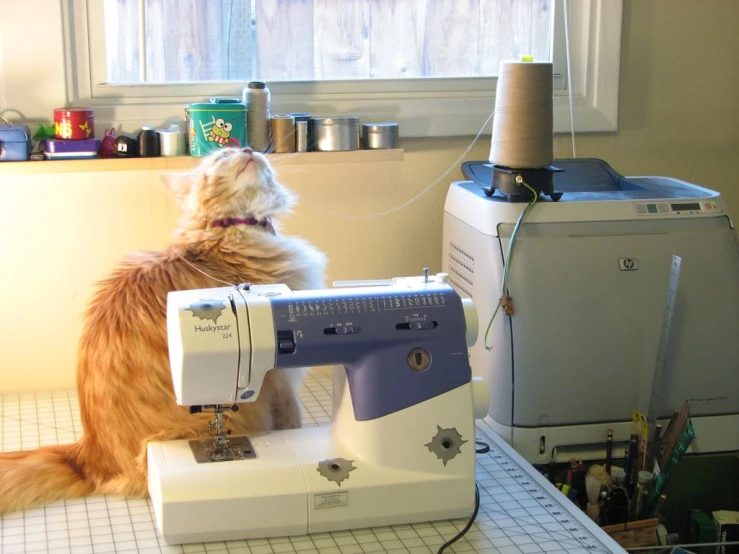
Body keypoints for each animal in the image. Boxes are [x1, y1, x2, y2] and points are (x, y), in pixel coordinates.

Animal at [0, 146, 326, 508]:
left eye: (240, 148)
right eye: (222, 155)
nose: (246, 148)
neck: (227, 233)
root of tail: (88, 455)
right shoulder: (281, 379)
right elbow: (292, 420)